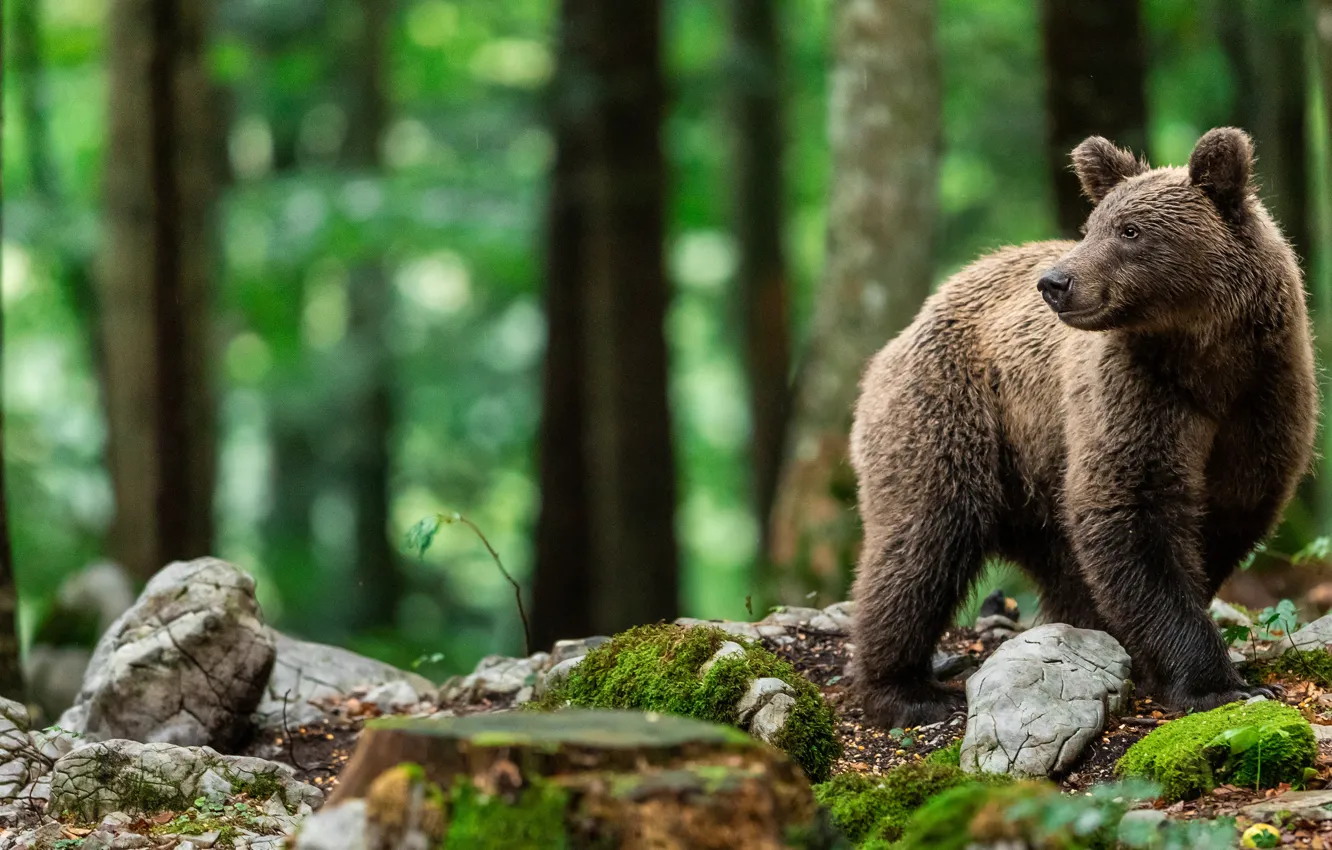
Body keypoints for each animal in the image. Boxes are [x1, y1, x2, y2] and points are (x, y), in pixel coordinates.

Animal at [848, 127, 1318, 729]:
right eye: (1093, 225)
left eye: (1130, 230)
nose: (1055, 282)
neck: (1207, 361)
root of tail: (907, 329)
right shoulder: (1137, 395)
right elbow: (1132, 513)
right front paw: (1217, 684)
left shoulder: (1262, 400)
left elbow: (1229, 512)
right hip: (956, 412)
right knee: (926, 535)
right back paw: (906, 689)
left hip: (1035, 468)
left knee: (1053, 554)